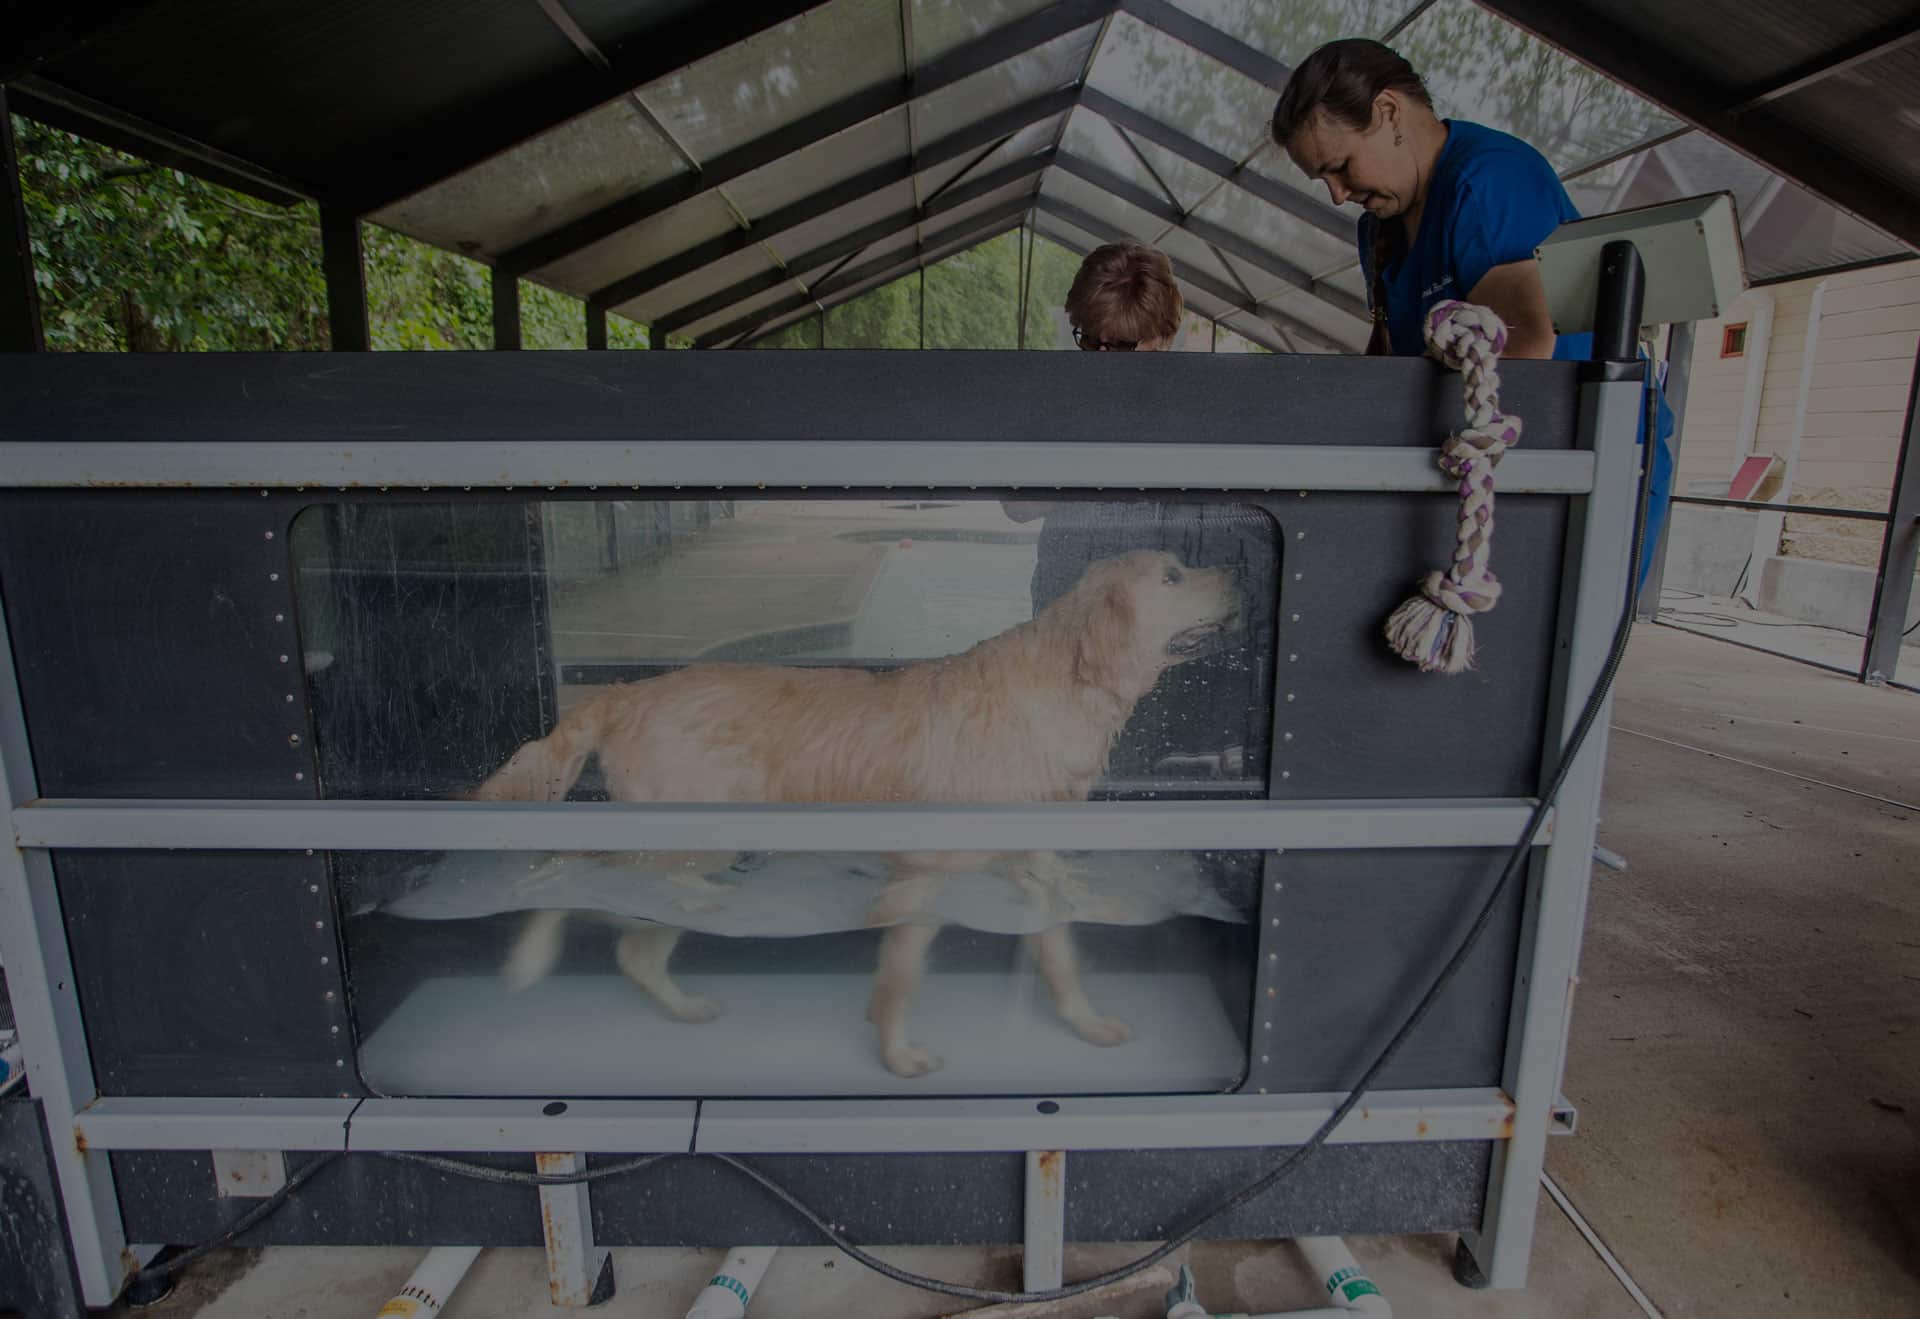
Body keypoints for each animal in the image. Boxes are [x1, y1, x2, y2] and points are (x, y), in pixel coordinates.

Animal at [472, 552, 1236, 1075]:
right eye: (1173, 574)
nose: (1238, 575)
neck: (1059, 690)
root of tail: (629, 691)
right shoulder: (921, 878)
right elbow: (899, 980)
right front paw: (897, 1056)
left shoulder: (1033, 869)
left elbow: (1061, 957)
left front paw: (1087, 1023)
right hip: (681, 838)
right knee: (583, 882)